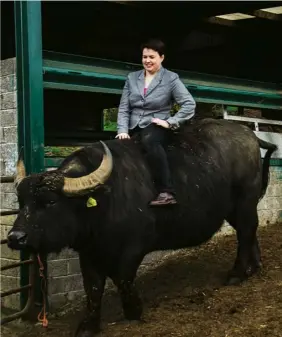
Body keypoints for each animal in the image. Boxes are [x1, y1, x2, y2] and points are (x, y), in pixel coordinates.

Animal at [7, 119, 278, 336]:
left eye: (50, 201)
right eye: (22, 201)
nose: (15, 238)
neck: (104, 200)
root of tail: (249, 134)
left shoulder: (134, 247)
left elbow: (123, 278)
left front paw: (133, 311)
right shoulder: (88, 252)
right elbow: (93, 288)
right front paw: (88, 325)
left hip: (245, 201)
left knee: (246, 232)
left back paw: (237, 274)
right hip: (235, 209)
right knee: (248, 232)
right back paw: (254, 267)